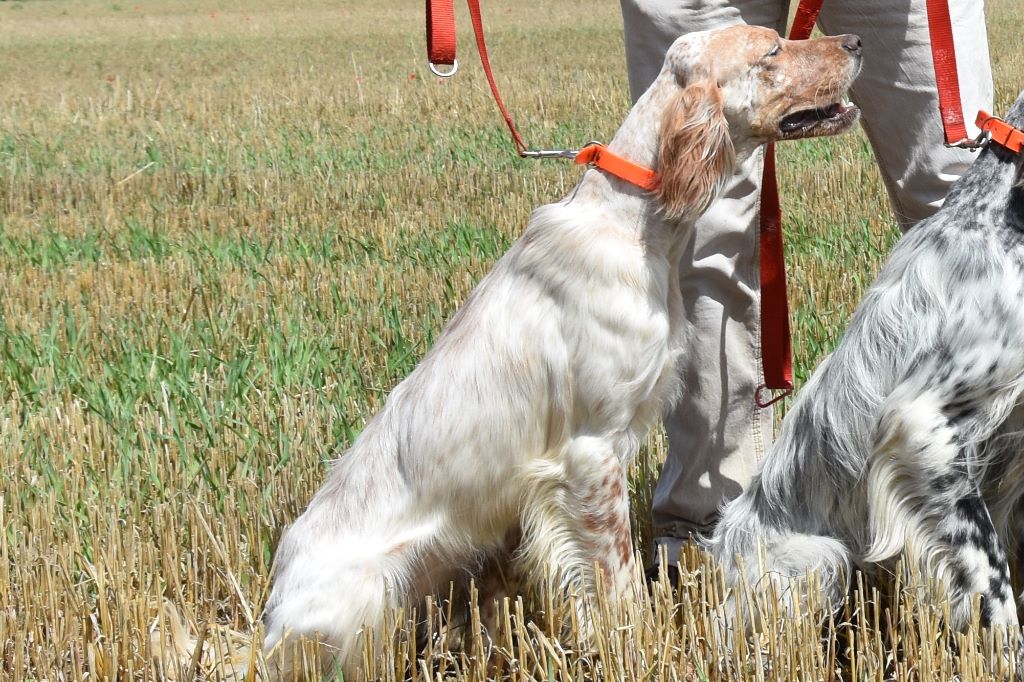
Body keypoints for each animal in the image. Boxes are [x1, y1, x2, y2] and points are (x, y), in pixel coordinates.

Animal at [260, 25, 860, 675]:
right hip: (367, 596)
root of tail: (267, 619)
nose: (855, 41)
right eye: (771, 50)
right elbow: (619, 582)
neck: (634, 222)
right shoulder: (591, 453)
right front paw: (641, 648)